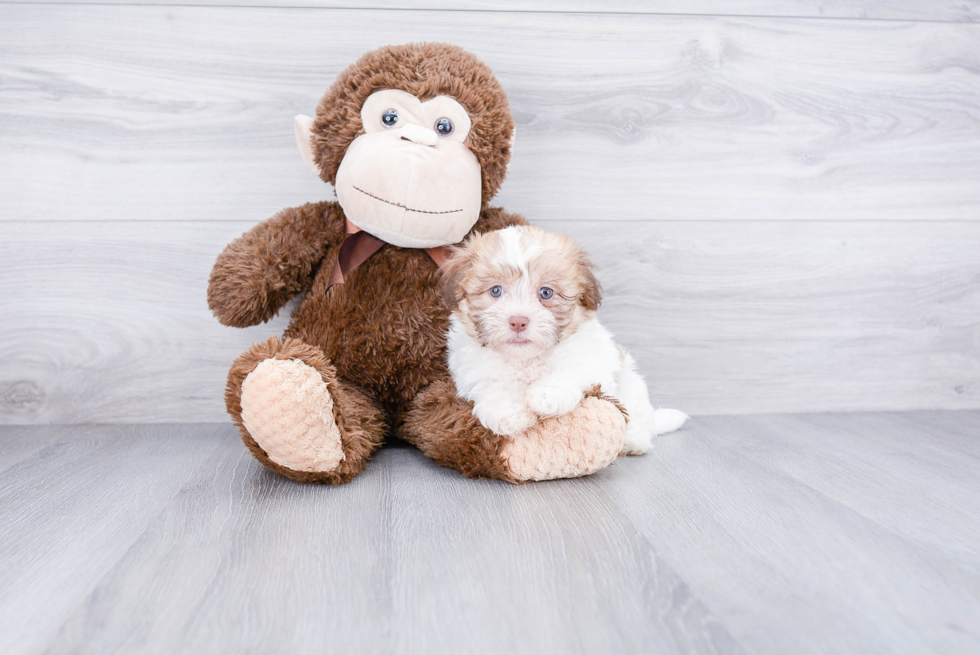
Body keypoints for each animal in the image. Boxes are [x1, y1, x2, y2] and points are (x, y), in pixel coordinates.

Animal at [440, 223, 684, 454]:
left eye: (546, 293)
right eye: (496, 291)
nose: (518, 321)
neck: (525, 360)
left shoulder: (591, 358)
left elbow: (568, 371)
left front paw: (546, 396)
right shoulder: (472, 368)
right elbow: (493, 385)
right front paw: (509, 414)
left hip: (632, 386)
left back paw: (633, 442)